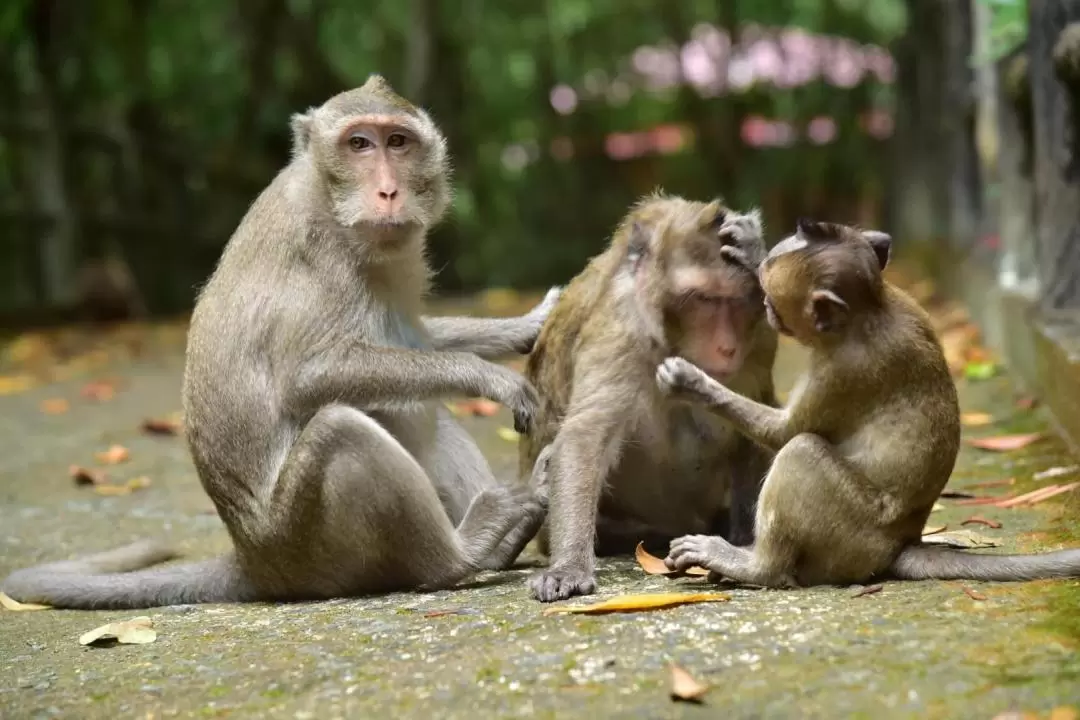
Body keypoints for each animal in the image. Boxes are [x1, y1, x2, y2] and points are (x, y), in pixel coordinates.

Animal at [2, 74, 557, 608]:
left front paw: (525, 325)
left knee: (420, 412)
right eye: (359, 143)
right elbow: (308, 377)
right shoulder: (323, 260)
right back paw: (465, 550)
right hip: (306, 538)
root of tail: (255, 560)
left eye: (398, 141)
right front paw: (490, 376)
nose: (388, 192)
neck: (325, 197)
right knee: (341, 428)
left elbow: (413, 338)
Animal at [520, 193, 777, 604]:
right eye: (702, 299)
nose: (727, 347)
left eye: (737, 301)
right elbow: (586, 435)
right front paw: (569, 566)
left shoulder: (760, 338)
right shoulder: (621, 328)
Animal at [656, 218, 1080, 587]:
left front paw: (693, 383)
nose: (767, 310)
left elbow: (784, 432)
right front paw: (750, 249)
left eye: (772, 305)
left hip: (849, 532)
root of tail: (898, 546)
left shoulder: (841, 372)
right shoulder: (904, 298)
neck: (869, 310)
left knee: (801, 451)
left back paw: (754, 566)